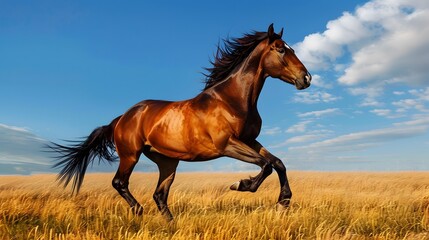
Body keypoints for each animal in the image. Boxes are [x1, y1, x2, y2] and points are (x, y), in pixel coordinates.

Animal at [50, 23, 310, 220]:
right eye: (280, 49)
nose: (306, 78)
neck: (231, 100)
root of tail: (123, 117)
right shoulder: (227, 144)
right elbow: (266, 165)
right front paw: (240, 184)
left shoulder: (250, 140)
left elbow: (277, 163)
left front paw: (283, 201)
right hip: (130, 155)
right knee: (119, 182)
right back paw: (139, 211)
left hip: (167, 162)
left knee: (159, 194)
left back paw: (171, 223)